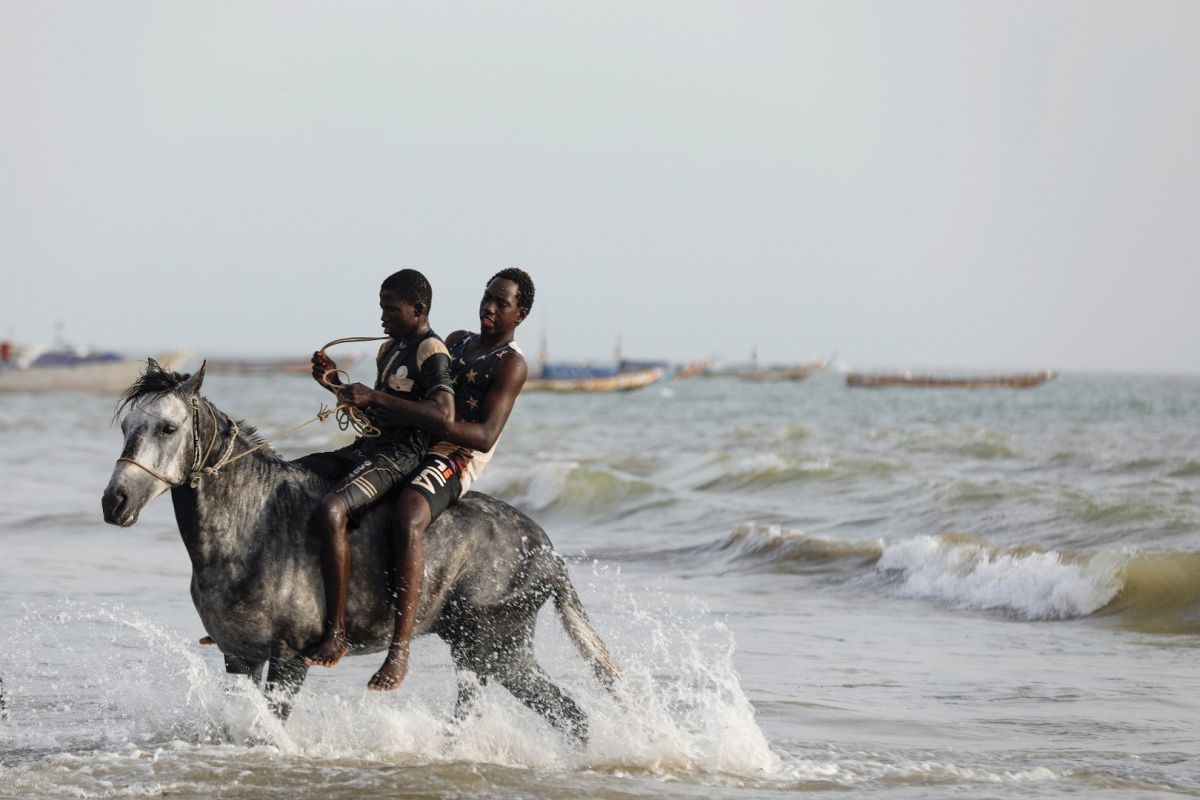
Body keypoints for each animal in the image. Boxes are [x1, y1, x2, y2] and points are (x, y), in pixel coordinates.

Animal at [102, 359, 619, 743]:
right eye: (126, 424)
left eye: (168, 428)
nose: (115, 502)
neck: (251, 526)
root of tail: (546, 549)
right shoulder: (239, 658)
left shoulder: (289, 661)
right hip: (503, 654)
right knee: (569, 716)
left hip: (487, 649)